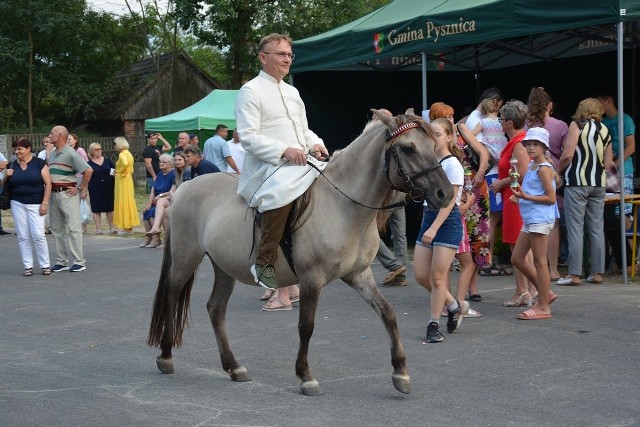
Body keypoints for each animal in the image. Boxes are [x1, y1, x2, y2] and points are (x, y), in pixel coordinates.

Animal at [148, 108, 452, 396]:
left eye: (433, 144)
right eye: (409, 148)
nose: (445, 194)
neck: (343, 205)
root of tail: (185, 187)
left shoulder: (359, 275)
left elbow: (387, 313)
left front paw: (401, 373)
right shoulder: (311, 279)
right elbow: (306, 326)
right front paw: (306, 376)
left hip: (224, 268)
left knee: (216, 309)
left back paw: (234, 366)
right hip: (185, 260)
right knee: (172, 298)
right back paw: (166, 355)